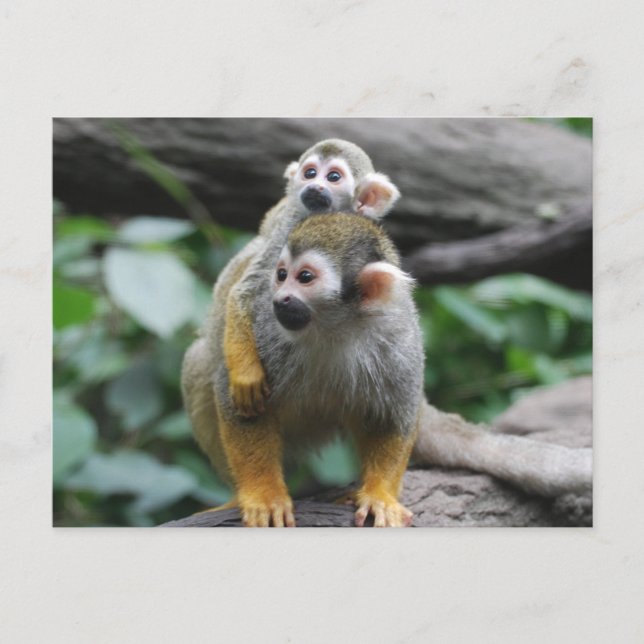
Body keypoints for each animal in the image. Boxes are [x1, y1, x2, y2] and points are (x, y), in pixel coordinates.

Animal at [182, 213, 592, 527]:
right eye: (281, 274)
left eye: (305, 278)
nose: (279, 298)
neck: (334, 326)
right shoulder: (266, 328)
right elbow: (240, 401)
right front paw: (264, 494)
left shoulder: (399, 337)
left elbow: (395, 414)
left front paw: (378, 494)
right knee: (200, 362)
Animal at [222, 139, 400, 418]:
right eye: (310, 173)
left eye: (333, 177)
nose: (314, 185)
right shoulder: (287, 229)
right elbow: (247, 289)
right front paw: (246, 375)